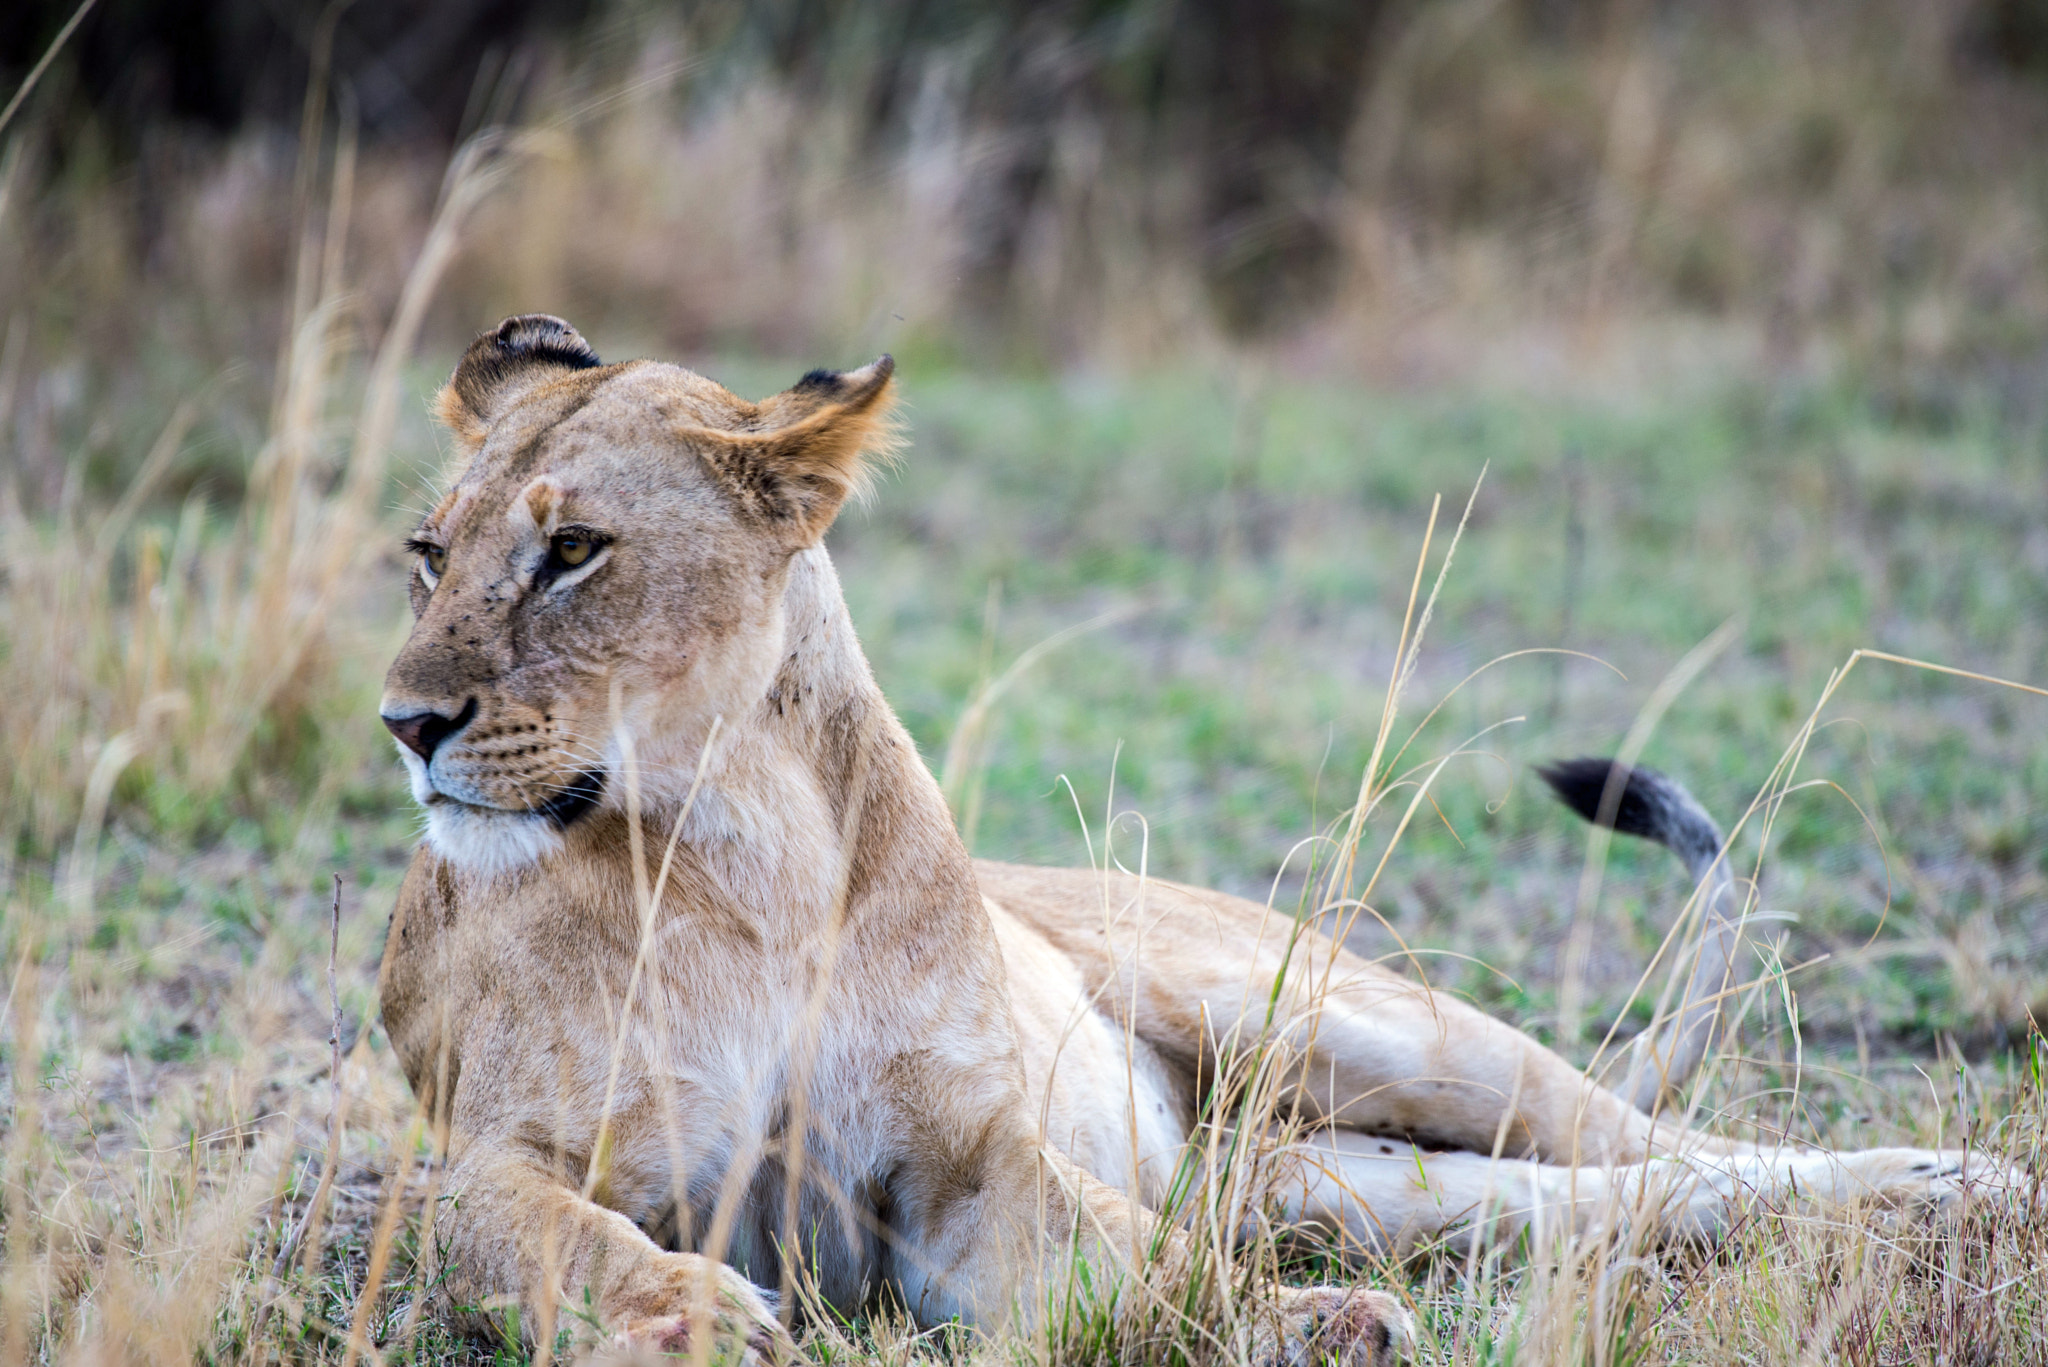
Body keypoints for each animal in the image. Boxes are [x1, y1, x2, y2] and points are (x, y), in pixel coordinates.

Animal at [378, 316, 2007, 1365]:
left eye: (573, 549)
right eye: (428, 552)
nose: (404, 721)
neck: (735, 837)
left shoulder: (961, 1160)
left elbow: (1136, 1259)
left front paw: (1301, 1328)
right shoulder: (498, 1148)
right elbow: (541, 1230)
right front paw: (684, 1315)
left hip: (1352, 1020)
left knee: (1667, 1141)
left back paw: (1956, 1182)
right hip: (1332, 1179)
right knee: (1600, 1199)